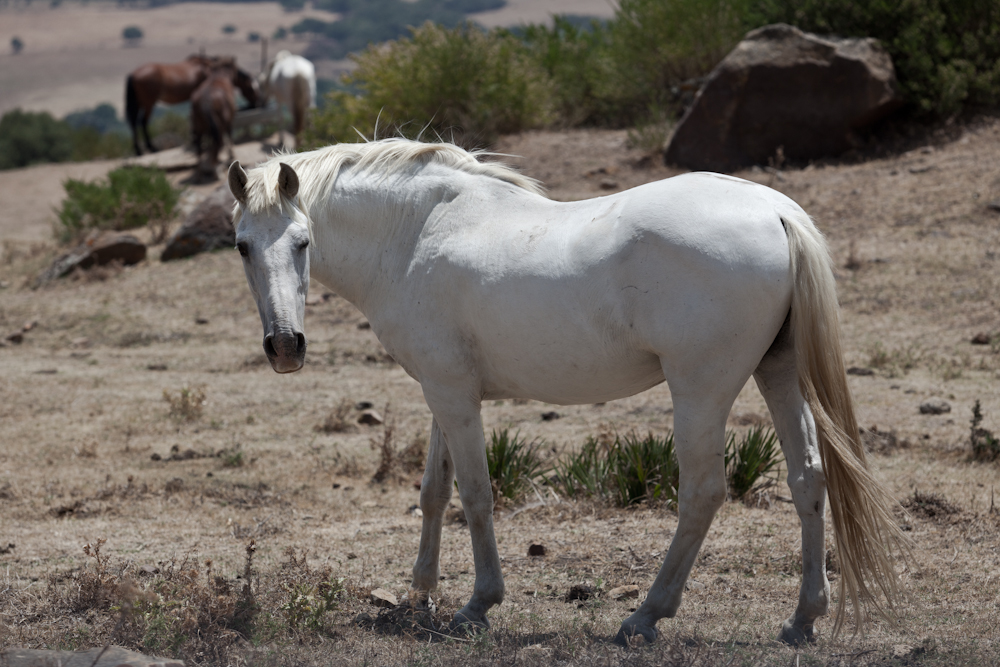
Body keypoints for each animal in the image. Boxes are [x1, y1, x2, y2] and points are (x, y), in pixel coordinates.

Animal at [125, 54, 260, 157]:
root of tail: (133, 74)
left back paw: (139, 150)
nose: (255, 104)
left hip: (139, 102)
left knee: (134, 122)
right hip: (149, 102)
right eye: (250, 88)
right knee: (142, 122)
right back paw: (151, 148)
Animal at [230, 140, 912, 648]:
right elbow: (433, 492)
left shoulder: (454, 396)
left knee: (703, 492)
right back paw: (802, 619)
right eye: (241, 246)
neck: (416, 233)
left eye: (302, 242)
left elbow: (475, 495)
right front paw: (418, 596)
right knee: (808, 479)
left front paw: (477, 605)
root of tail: (775, 212)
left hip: (701, 390)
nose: (285, 346)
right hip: (778, 373)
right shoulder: (443, 390)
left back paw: (645, 617)